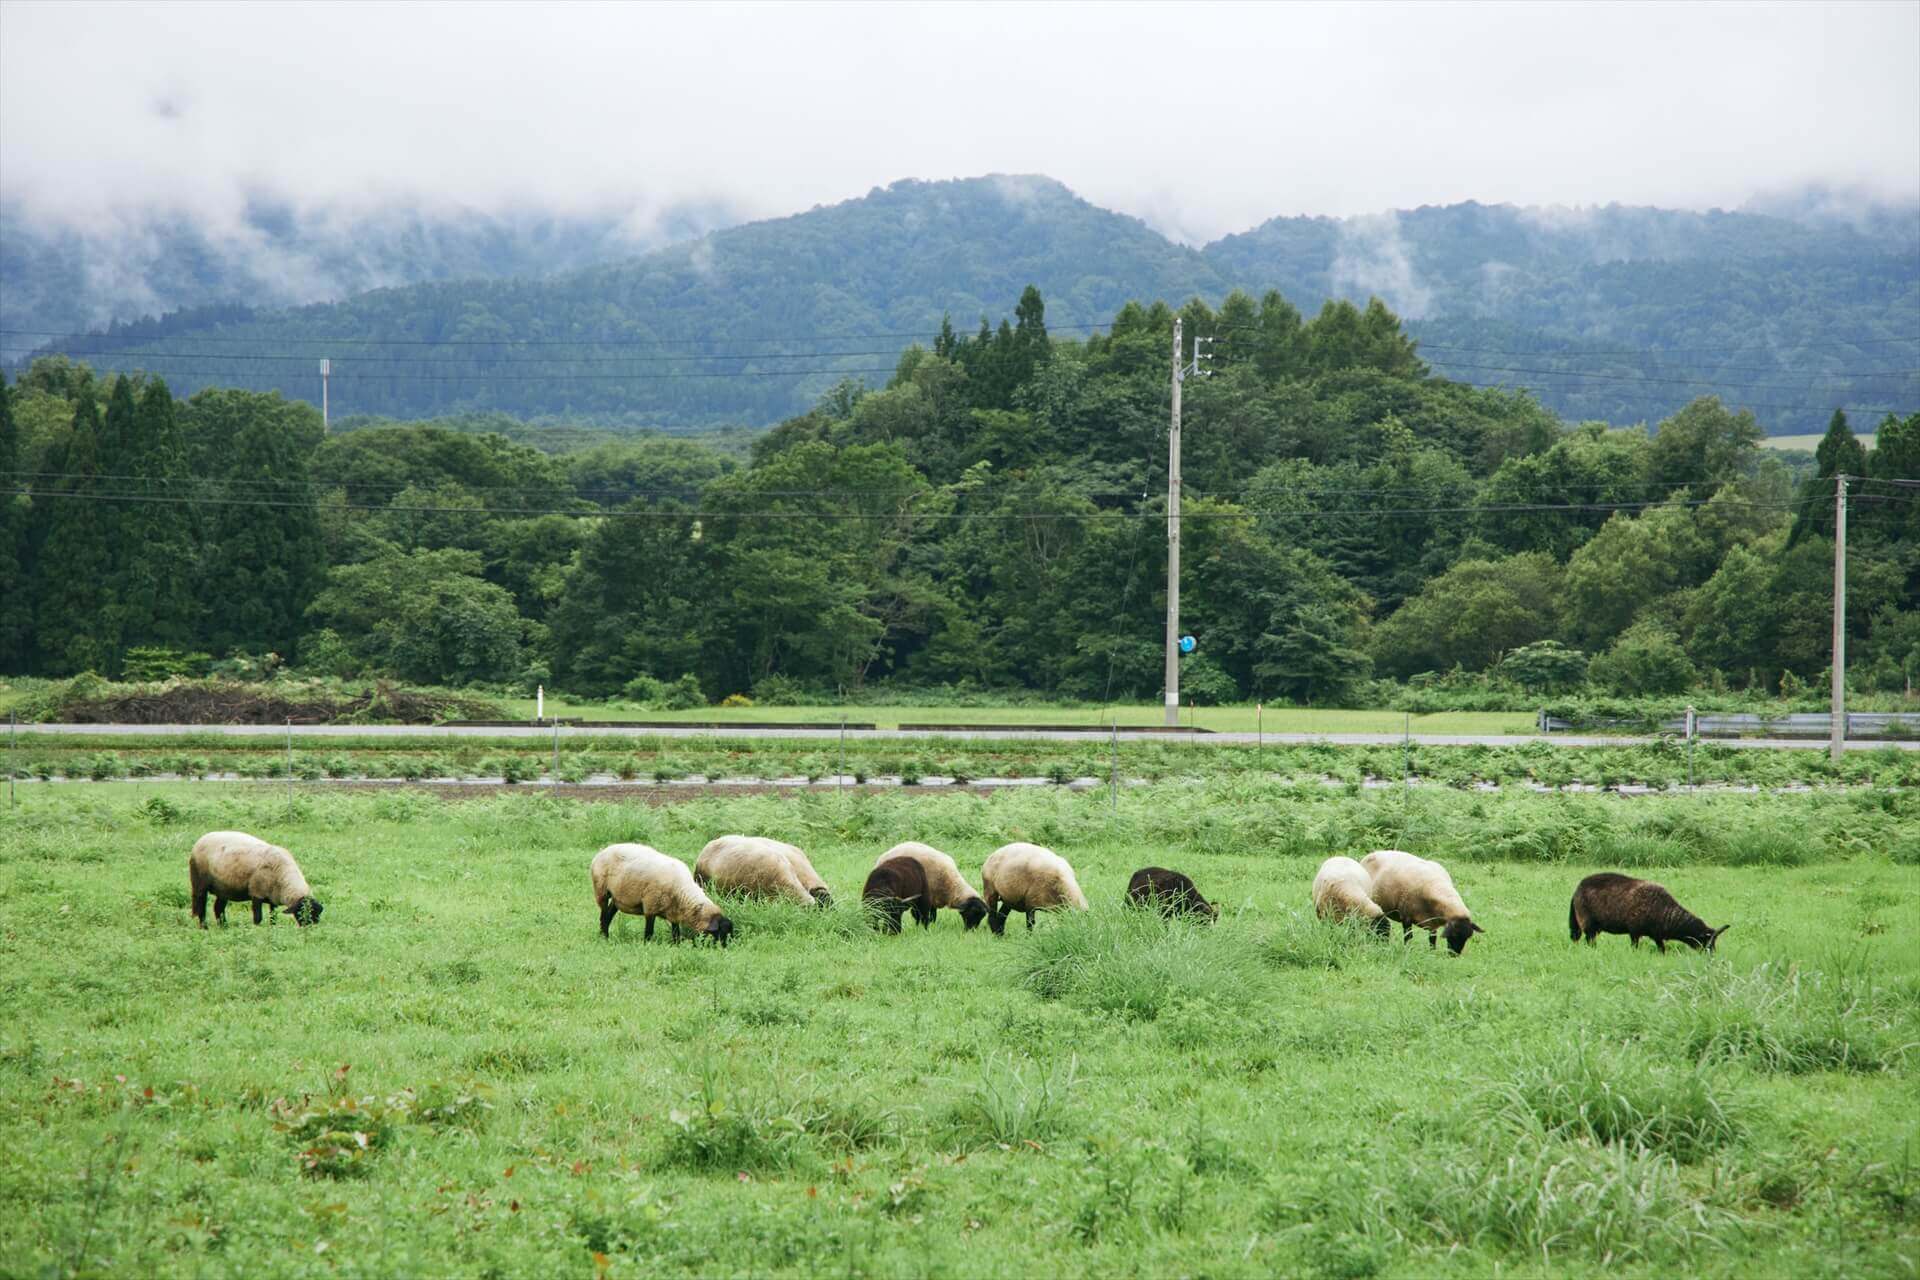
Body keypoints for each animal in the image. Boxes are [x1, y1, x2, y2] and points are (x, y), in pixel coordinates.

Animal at [188, 832, 322, 932]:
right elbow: (258, 918)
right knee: (201, 906)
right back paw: (204, 927)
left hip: (223, 887)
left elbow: (273, 917)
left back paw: (224, 927)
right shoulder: (257, 892)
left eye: (316, 914)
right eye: (301, 911)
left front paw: (273, 929)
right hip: (199, 882)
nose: (310, 929)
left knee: (218, 908)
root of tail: (201, 839)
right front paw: (257, 930)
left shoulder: (273, 896)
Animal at [587, 844, 729, 948]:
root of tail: (603, 850)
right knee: (603, 917)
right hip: (601, 891)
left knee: (609, 915)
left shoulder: (674, 912)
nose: (724, 950)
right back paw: (604, 937)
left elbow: (676, 932)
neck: (682, 891)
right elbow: (649, 931)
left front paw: (677, 945)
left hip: (617, 897)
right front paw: (647, 945)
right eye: (719, 934)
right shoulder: (650, 905)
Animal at [1351, 852, 1482, 951]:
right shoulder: (1406, 916)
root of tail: (1373, 852)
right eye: (1453, 935)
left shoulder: (1432, 922)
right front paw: (1407, 950)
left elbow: (1432, 939)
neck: (1436, 885)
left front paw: (1432, 952)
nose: (1454, 954)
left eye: (1468, 937)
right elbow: (1408, 936)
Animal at [1566, 871, 1735, 951]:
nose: (1712, 957)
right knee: (1589, 940)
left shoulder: (1657, 936)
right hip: (1587, 922)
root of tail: (1576, 890)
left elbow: (1662, 949)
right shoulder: (1634, 931)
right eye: (1707, 942)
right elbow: (1635, 947)